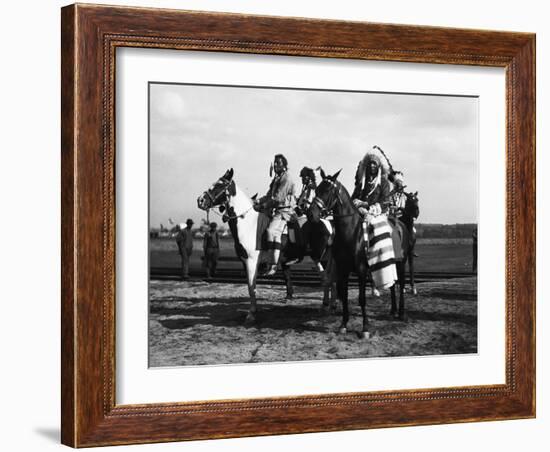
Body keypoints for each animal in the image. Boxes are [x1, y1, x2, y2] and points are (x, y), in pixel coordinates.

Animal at [308, 170, 412, 340]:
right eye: (316, 190)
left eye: (328, 190)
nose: (311, 214)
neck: (351, 232)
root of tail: (400, 224)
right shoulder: (343, 270)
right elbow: (343, 295)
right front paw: (343, 324)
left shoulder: (362, 270)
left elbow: (362, 299)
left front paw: (365, 328)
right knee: (391, 286)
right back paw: (392, 310)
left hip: (401, 263)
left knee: (401, 284)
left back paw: (401, 313)